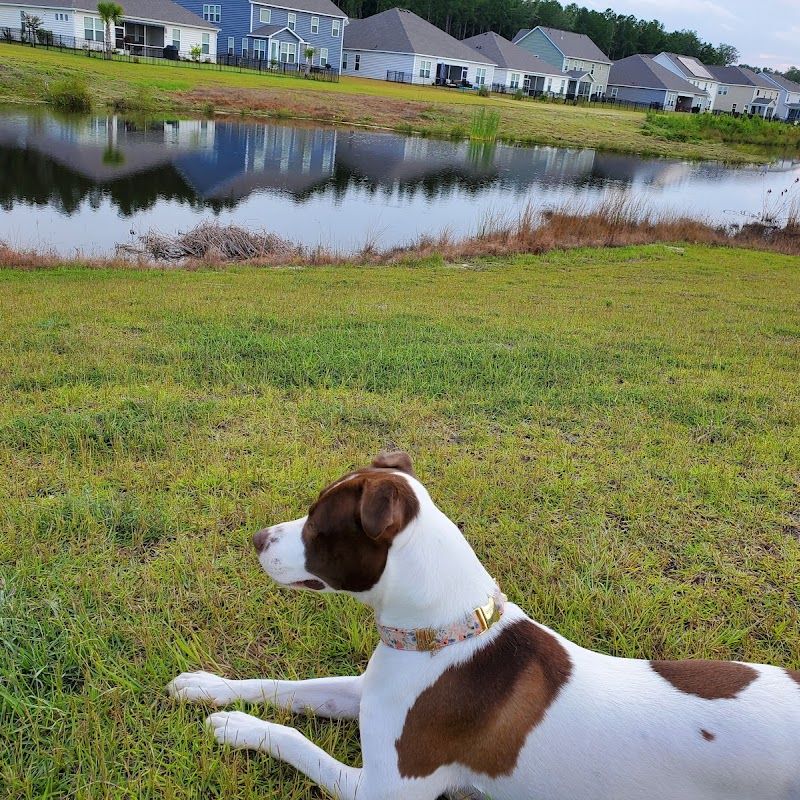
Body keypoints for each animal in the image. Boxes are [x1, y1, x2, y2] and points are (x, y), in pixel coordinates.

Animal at [169, 454, 800, 796]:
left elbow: (295, 737)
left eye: (317, 526)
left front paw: (236, 726)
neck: (442, 636)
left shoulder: (382, 788)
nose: (256, 539)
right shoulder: (369, 693)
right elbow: (290, 689)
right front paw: (207, 688)